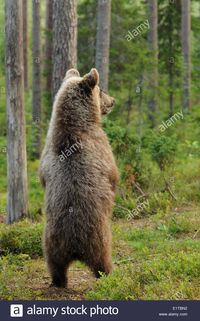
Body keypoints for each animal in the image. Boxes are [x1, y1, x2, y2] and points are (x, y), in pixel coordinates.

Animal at [39, 68, 119, 288]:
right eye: (101, 90)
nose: (113, 100)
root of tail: (74, 247)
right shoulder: (101, 146)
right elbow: (113, 174)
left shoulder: (46, 154)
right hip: (99, 237)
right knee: (102, 260)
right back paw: (111, 274)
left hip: (50, 242)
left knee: (55, 265)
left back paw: (58, 281)